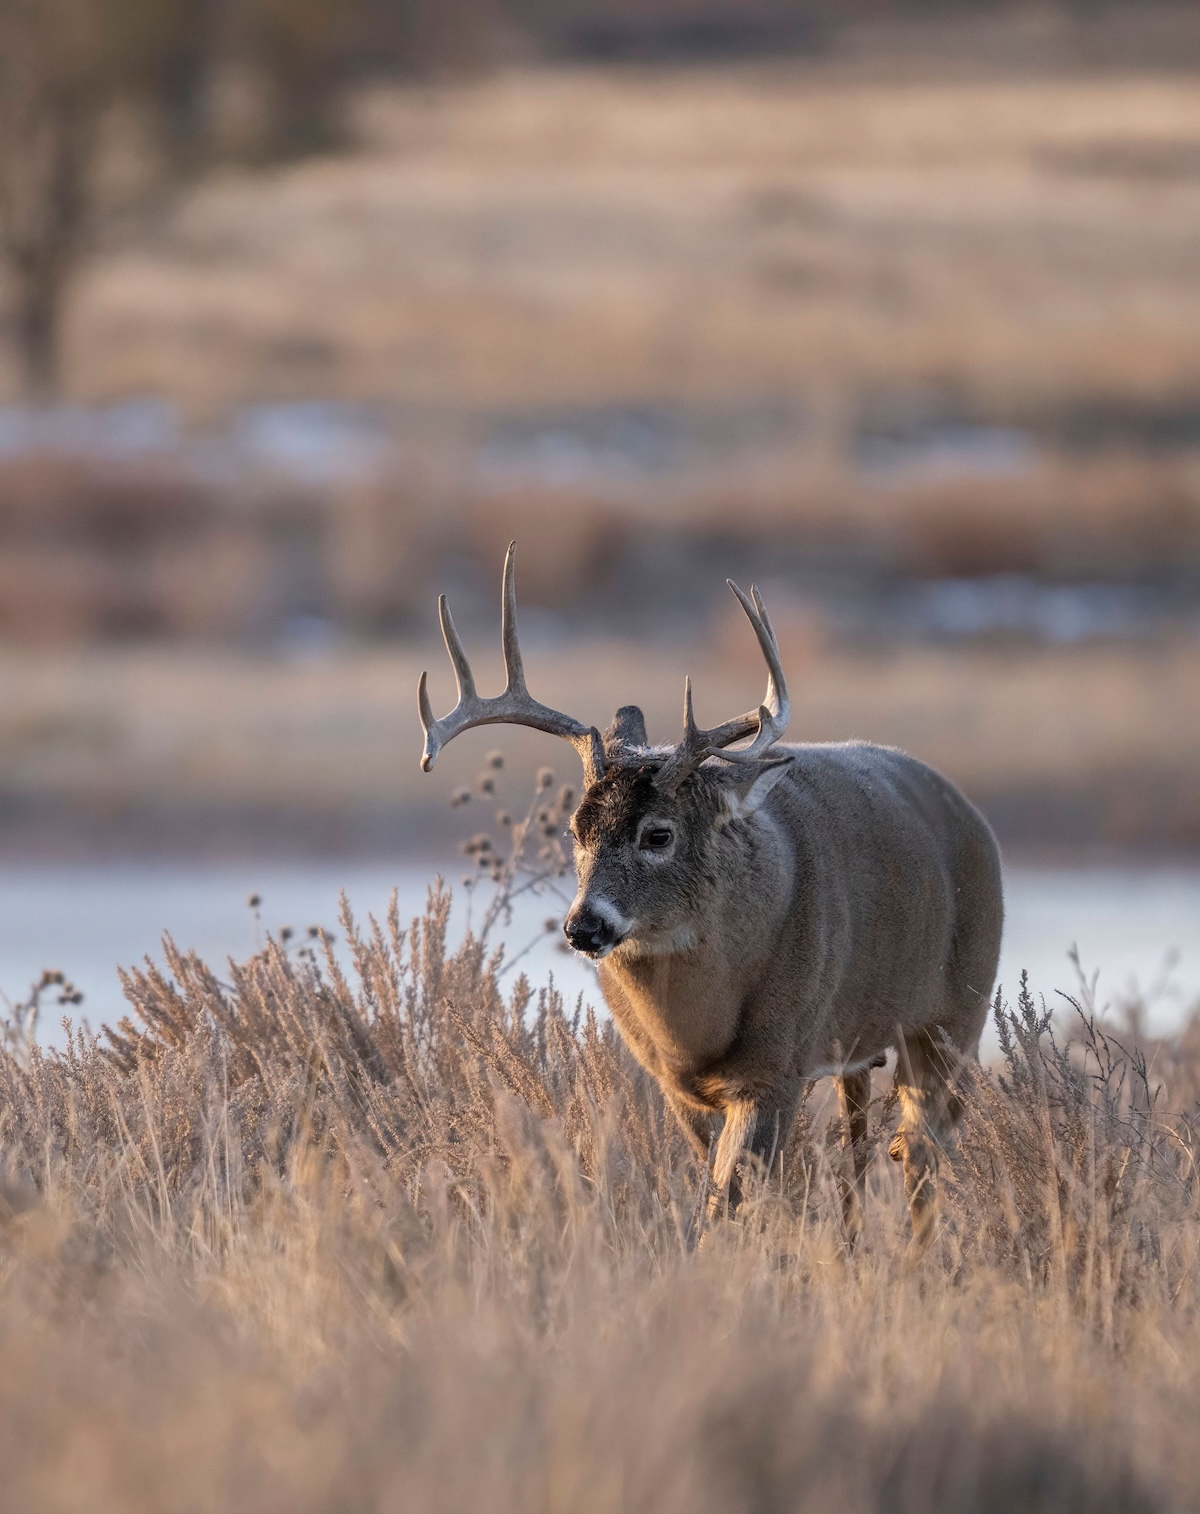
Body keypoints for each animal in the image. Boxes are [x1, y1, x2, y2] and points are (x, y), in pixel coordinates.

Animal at [417, 545, 1004, 1247]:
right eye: (575, 832)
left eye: (658, 833)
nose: (584, 926)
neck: (698, 1030)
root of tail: (973, 816)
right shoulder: (677, 1086)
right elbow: (718, 1192)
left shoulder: (777, 1069)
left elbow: (728, 1200)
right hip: (859, 1049)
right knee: (861, 1150)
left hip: (956, 1016)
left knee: (923, 1155)